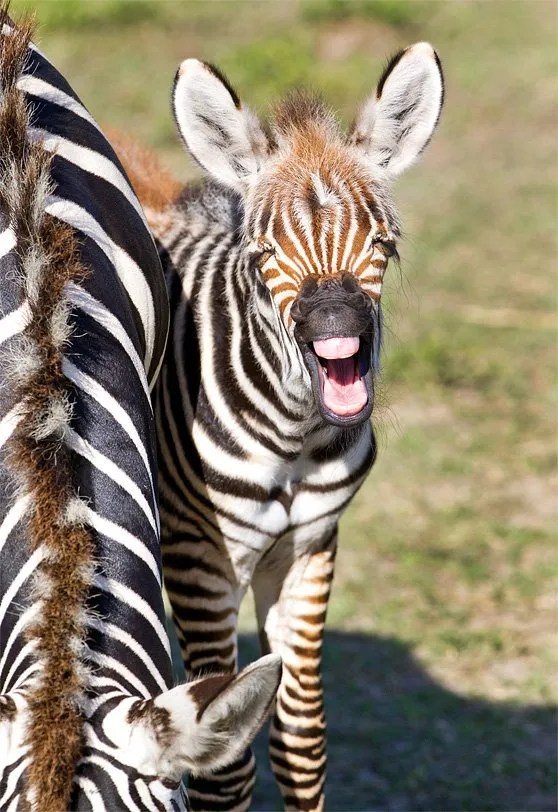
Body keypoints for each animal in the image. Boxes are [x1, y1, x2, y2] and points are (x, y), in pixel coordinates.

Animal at [114, 42, 444, 811]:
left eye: (382, 244)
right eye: (263, 254)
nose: (337, 326)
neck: (297, 438)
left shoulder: (309, 550)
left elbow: (301, 737)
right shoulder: (200, 560)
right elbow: (224, 763)